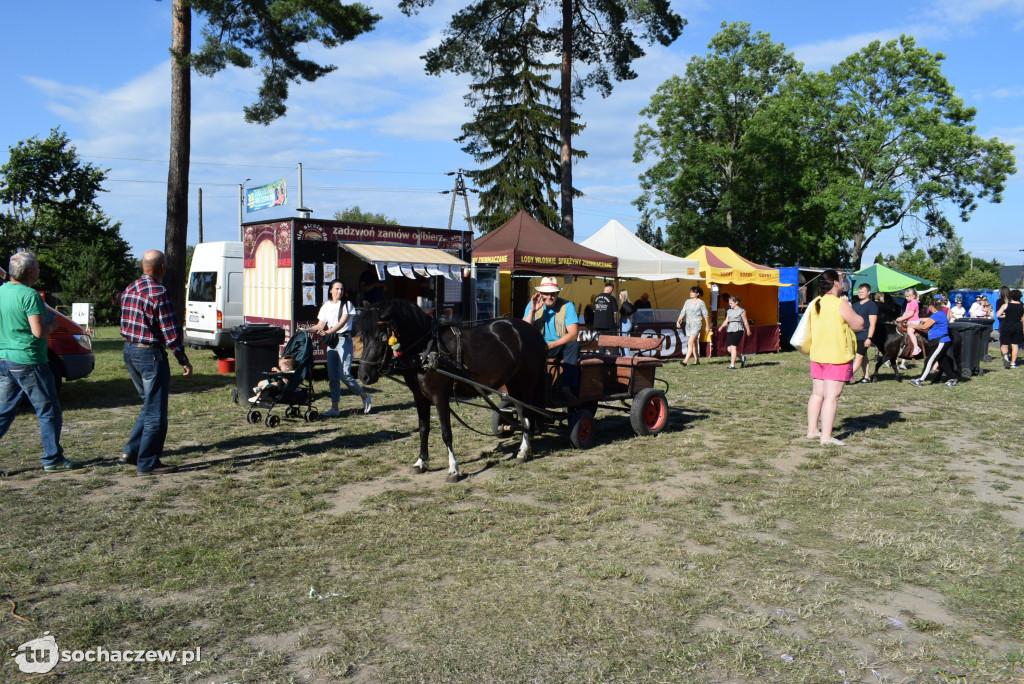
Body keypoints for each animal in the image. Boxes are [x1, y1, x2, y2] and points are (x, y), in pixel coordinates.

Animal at [356, 296, 548, 481]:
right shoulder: (419, 397)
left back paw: (524, 450)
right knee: (520, 410)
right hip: (513, 381)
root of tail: (531, 330)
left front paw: (453, 469)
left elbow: (446, 433)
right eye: (362, 337)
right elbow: (423, 428)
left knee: (526, 412)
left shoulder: (439, 397)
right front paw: (421, 462)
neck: (426, 350)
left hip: (527, 379)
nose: (364, 375)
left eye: (381, 337)